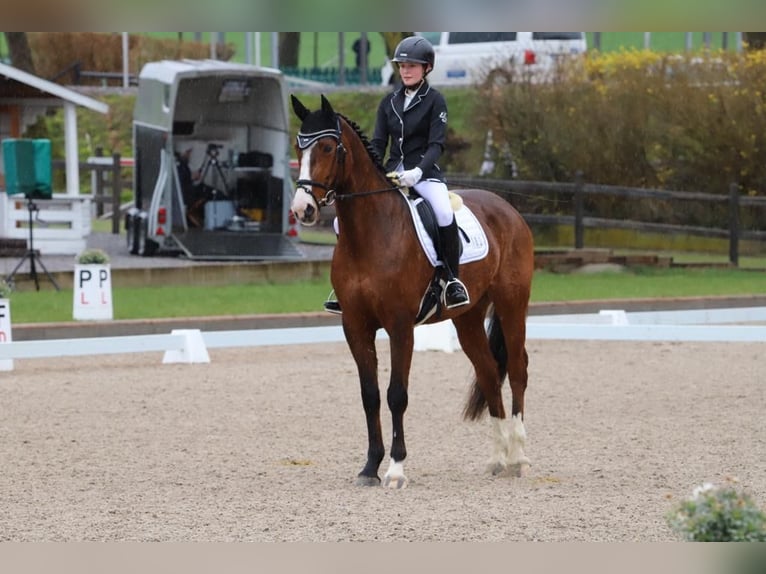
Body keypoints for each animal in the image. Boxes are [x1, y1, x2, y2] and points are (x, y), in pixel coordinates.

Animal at [288, 95, 536, 490]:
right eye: (300, 147)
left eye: (327, 147)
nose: (303, 209)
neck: (369, 234)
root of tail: (506, 208)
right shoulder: (355, 325)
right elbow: (370, 395)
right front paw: (369, 467)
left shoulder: (400, 326)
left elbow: (396, 395)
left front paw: (395, 469)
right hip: (468, 317)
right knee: (487, 371)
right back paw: (498, 459)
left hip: (513, 302)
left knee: (516, 369)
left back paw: (520, 458)